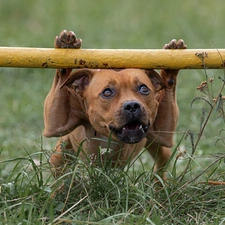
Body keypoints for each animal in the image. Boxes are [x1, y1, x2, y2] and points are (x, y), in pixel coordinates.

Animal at [43, 29, 186, 178]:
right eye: (107, 92)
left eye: (144, 89)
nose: (132, 106)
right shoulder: (56, 125)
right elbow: (60, 80)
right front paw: (65, 47)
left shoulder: (163, 135)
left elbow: (169, 86)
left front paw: (170, 69)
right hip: (60, 154)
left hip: (157, 146)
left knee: (162, 162)